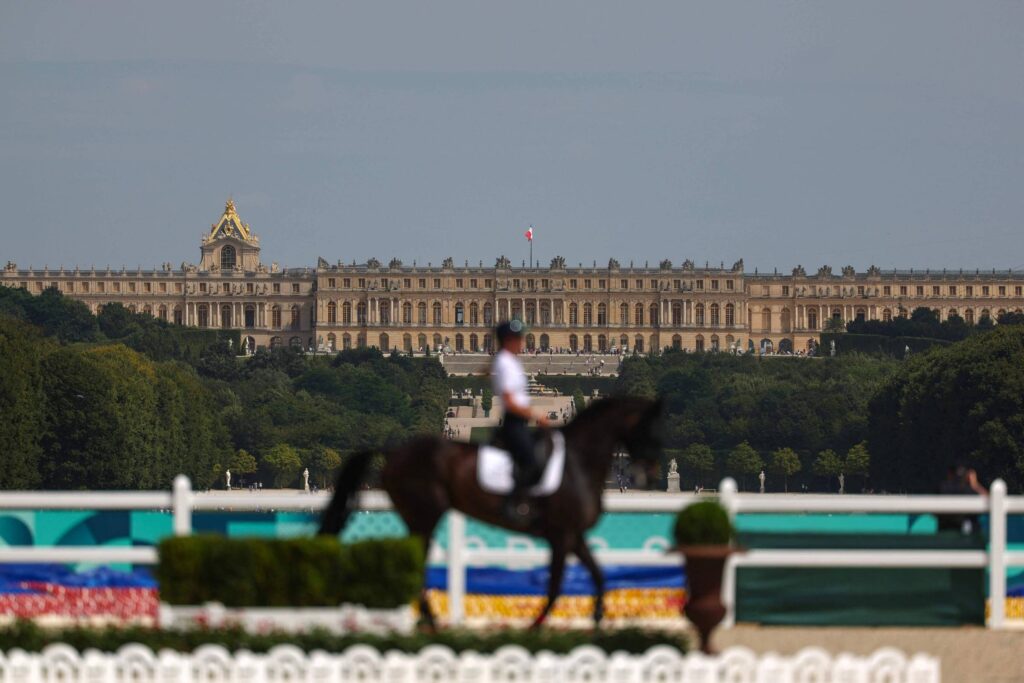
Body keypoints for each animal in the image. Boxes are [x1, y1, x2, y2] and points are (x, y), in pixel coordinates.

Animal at [315, 395, 663, 630]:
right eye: (646, 430)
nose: (649, 473)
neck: (577, 462)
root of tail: (393, 453)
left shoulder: (570, 536)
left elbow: (595, 577)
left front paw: (596, 621)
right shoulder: (562, 534)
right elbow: (556, 585)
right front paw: (536, 628)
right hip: (424, 516)